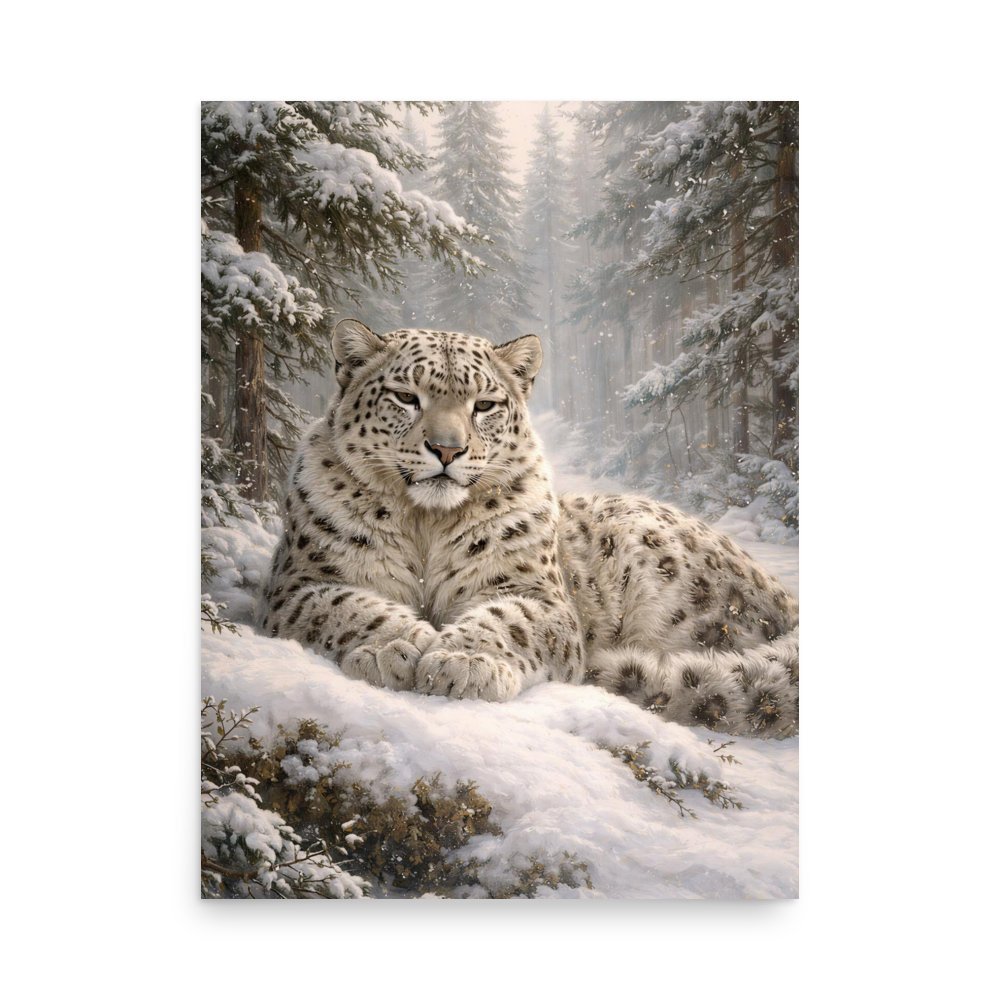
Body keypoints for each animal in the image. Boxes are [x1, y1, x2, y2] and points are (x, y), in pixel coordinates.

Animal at [258, 319, 799, 738]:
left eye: (484, 404)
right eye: (406, 396)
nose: (447, 449)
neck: (426, 523)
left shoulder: (537, 593)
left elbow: (509, 619)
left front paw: (464, 663)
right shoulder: (299, 583)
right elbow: (348, 606)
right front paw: (394, 648)